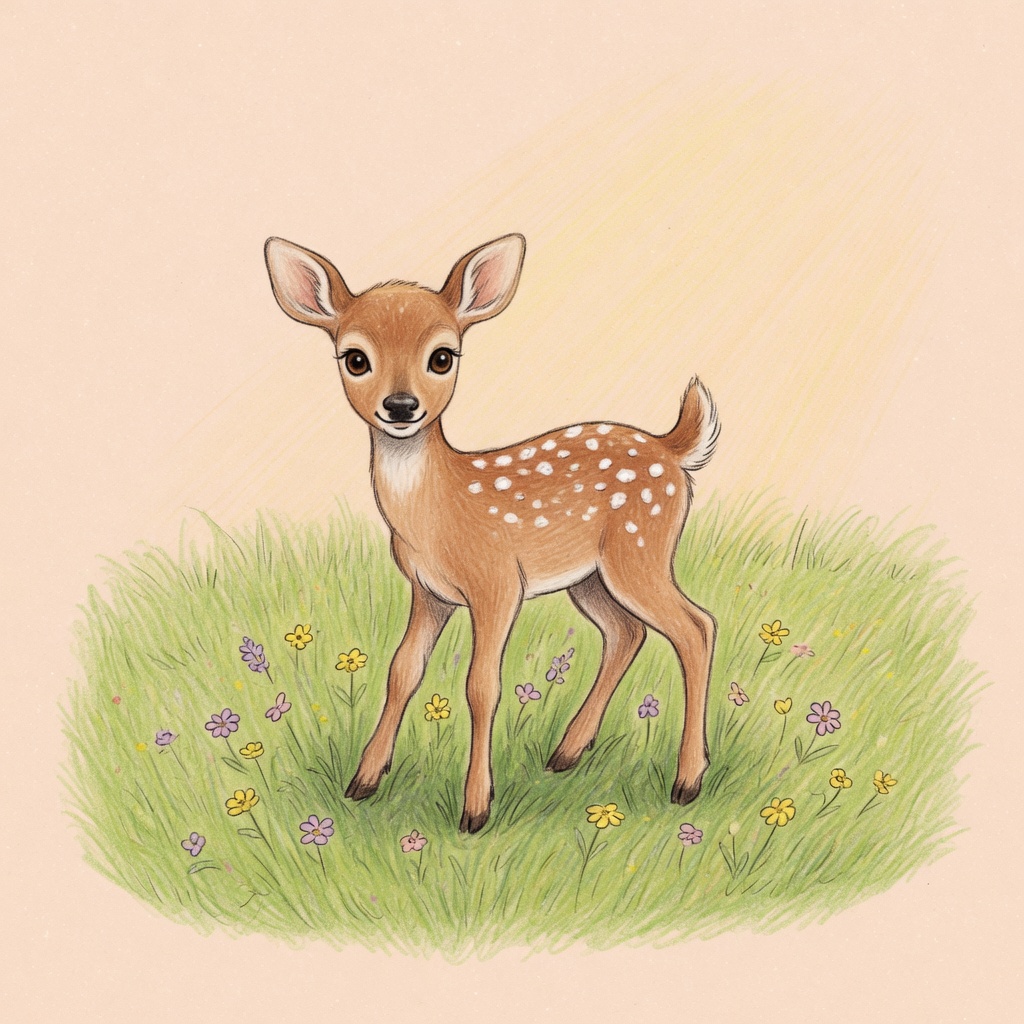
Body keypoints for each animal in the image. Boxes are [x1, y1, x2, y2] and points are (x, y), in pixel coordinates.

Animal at [264, 233, 719, 833]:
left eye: (442, 356)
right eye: (355, 358)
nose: (401, 406)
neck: (438, 515)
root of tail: (672, 449)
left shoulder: (498, 583)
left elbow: (481, 686)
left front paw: (475, 808)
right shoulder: (428, 591)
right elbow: (402, 670)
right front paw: (364, 781)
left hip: (639, 550)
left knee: (696, 626)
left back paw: (687, 782)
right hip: (590, 577)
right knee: (627, 633)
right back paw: (567, 752)